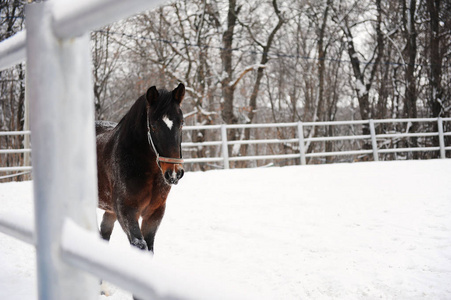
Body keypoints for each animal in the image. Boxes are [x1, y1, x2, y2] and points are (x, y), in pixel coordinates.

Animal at [95, 82, 185, 253]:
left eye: (181, 123)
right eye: (154, 126)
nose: (174, 173)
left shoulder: (154, 213)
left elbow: (149, 246)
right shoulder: (126, 211)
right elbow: (140, 245)